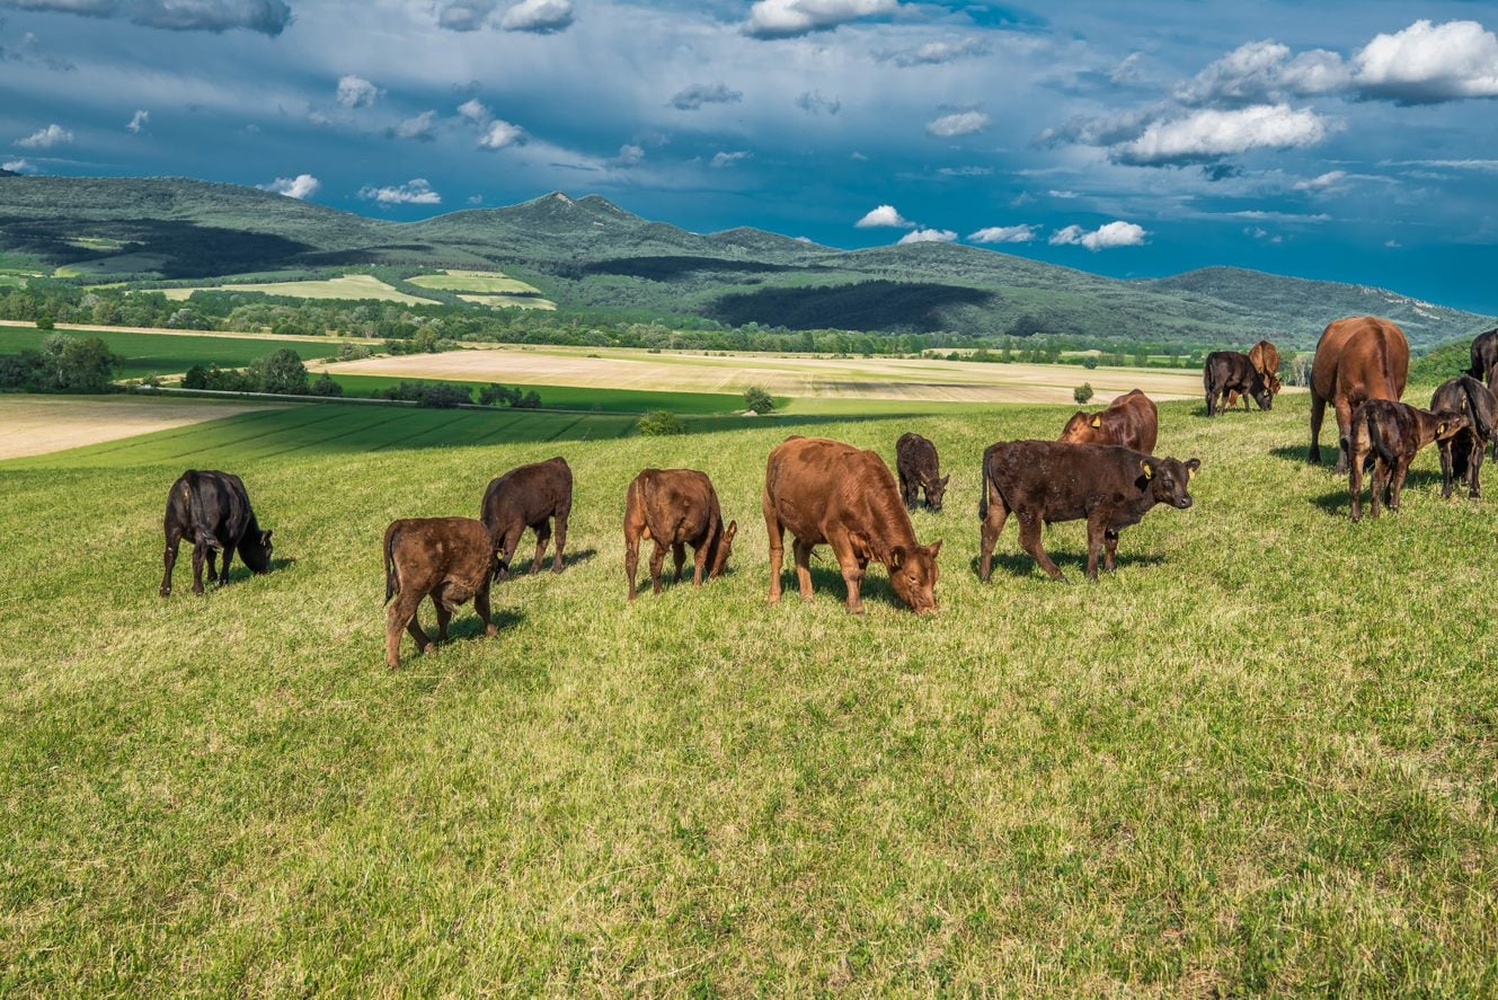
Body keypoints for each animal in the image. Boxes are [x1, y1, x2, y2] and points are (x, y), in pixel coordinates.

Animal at [383, 520, 500, 667]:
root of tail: (401, 524)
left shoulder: (438, 592)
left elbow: (443, 616)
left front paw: (443, 640)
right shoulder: (484, 584)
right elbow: (483, 608)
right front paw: (493, 633)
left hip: (410, 589)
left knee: (410, 617)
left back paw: (431, 648)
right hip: (416, 588)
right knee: (399, 614)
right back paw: (395, 664)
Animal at [620, 467, 737, 598]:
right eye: (729, 553)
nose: (719, 577)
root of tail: (647, 474)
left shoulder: (678, 537)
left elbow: (680, 557)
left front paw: (677, 581)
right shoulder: (709, 528)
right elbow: (700, 556)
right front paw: (697, 585)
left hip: (632, 526)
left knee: (631, 560)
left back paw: (632, 597)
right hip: (664, 533)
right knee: (655, 561)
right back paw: (658, 592)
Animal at [766, 434, 940, 613]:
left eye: (935, 577)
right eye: (912, 577)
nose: (931, 610)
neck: (863, 490)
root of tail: (789, 441)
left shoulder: (865, 540)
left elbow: (860, 573)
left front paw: (849, 603)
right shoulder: (834, 529)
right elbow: (850, 568)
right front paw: (857, 607)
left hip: (808, 524)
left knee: (800, 549)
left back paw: (807, 597)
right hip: (770, 507)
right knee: (776, 553)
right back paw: (774, 597)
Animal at [976, 440, 1198, 586]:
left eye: (1186, 478)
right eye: (1167, 479)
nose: (1186, 500)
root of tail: (1002, 446)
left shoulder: (1113, 517)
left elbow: (1111, 542)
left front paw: (1110, 569)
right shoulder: (1099, 509)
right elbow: (1096, 542)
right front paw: (1093, 576)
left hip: (1000, 503)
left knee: (989, 532)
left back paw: (986, 578)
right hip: (1029, 509)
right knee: (1029, 540)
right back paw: (1060, 576)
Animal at [1312, 315, 1402, 473]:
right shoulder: (1342, 399)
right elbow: (1345, 435)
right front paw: (1341, 468)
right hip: (1315, 388)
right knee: (1316, 422)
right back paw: (1314, 456)